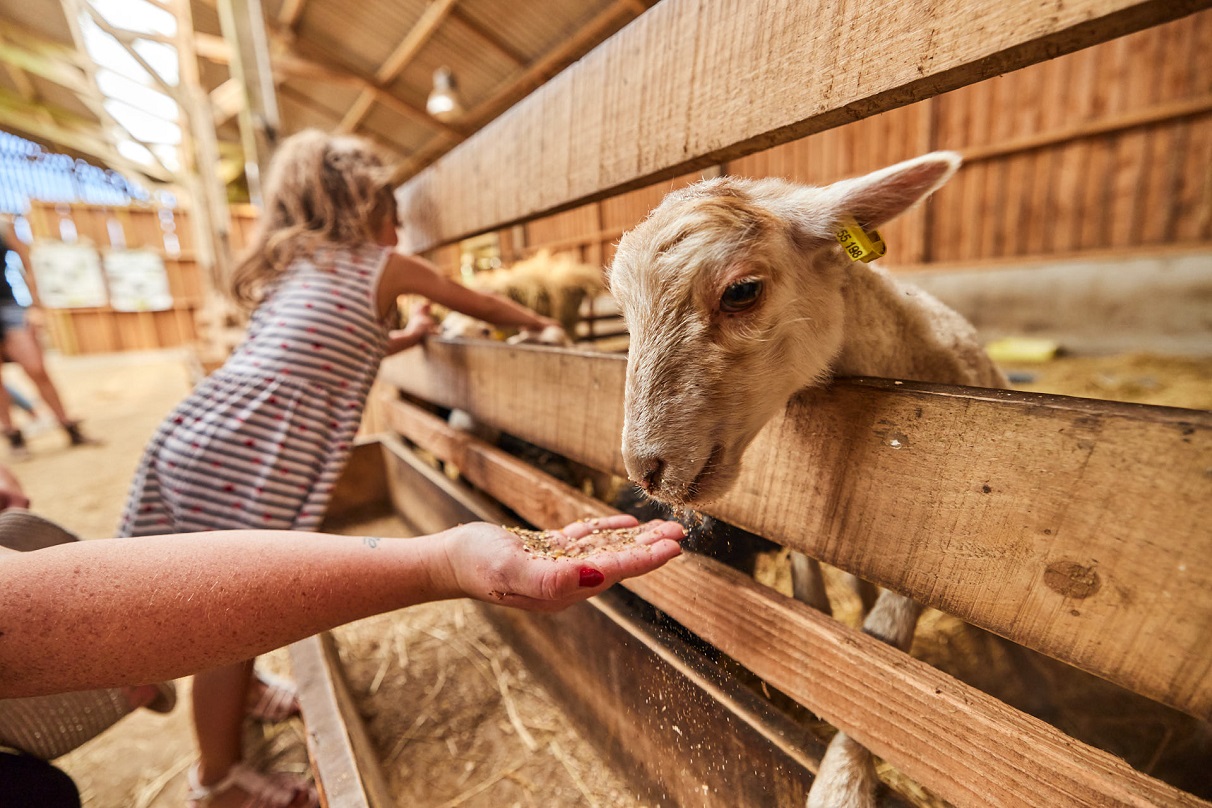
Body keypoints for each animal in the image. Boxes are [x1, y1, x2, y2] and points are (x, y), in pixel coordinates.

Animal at [606, 153, 1003, 808]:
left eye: (742, 291)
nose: (646, 469)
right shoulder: (800, 522)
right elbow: (812, 603)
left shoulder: (931, 549)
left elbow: (883, 657)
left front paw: (844, 778)